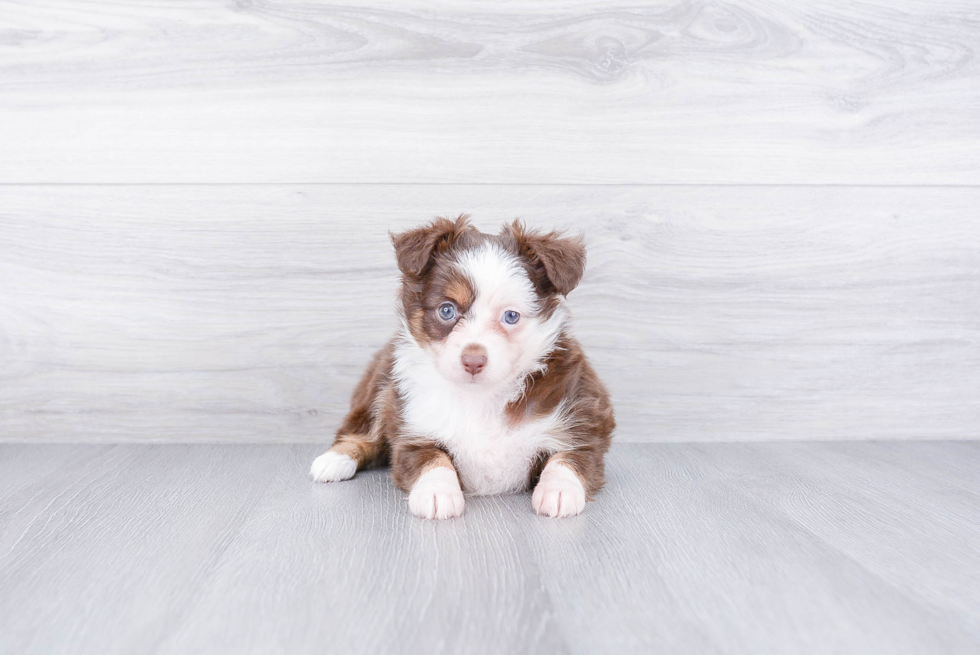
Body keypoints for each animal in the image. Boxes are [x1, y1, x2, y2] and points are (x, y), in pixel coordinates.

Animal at [310, 218, 612, 520]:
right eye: (447, 310)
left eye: (511, 316)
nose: (473, 360)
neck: (481, 397)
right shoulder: (412, 431)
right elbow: (431, 457)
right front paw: (437, 492)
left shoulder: (582, 421)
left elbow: (569, 456)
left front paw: (559, 490)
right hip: (380, 386)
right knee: (363, 431)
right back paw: (334, 459)